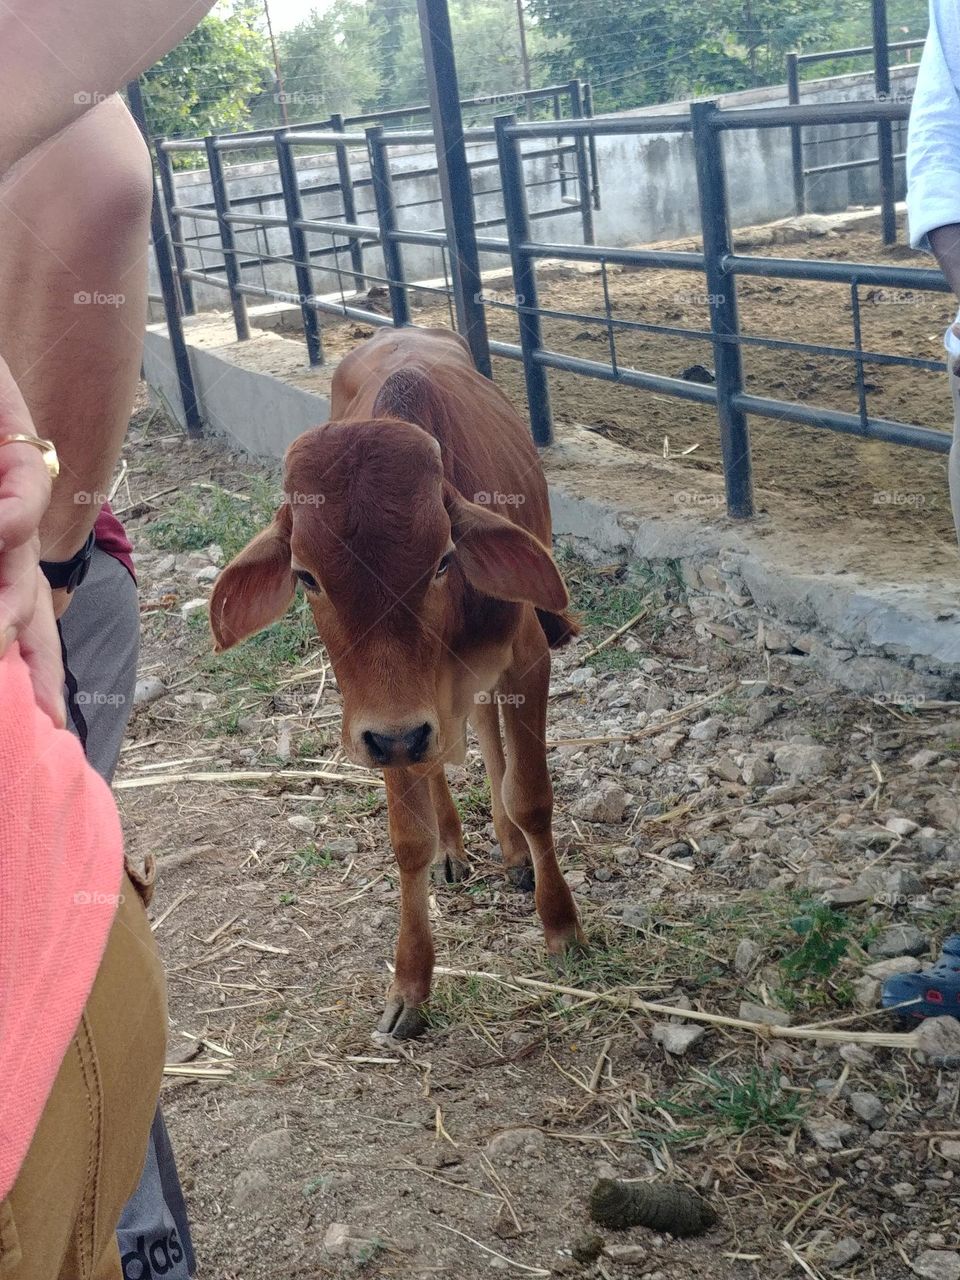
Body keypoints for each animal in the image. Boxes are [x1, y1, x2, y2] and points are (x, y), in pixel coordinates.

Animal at [209, 327, 584, 1038]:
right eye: (305, 575)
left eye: (442, 560)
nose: (398, 736)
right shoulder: (381, 720)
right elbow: (408, 840)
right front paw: (410, 983)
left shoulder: (525, 662)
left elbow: (531, 796)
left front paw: (563, 928)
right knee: (439, 759)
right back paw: (457, 847)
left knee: (482, 733)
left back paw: (512, 852)